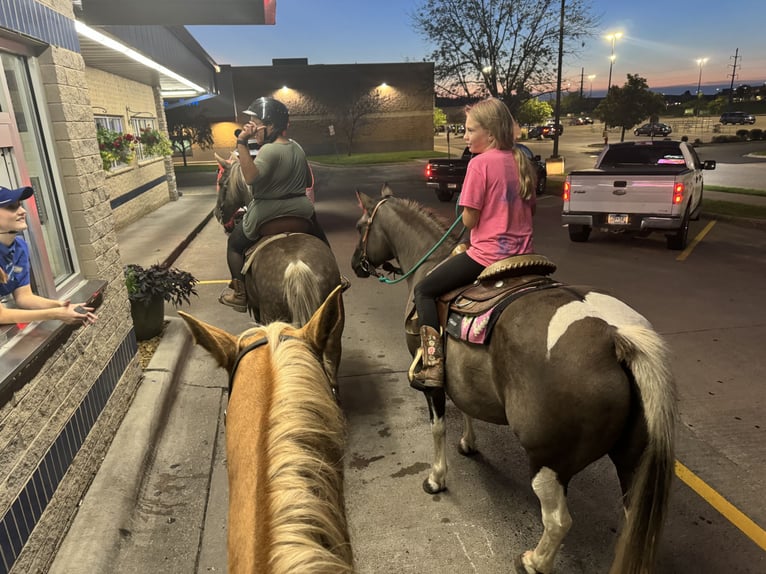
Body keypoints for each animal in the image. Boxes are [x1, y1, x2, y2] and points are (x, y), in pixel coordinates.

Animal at [350, 187, 680, 572]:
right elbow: (467, 406)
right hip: (633, 461)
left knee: (557, 520)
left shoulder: (432, 384)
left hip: (548, 461)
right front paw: (469, 443)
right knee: (629, 518)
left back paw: (534, 560)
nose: (355, 264)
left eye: (361, 226)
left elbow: (438, 426)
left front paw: (436, 478)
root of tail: (614, 338)